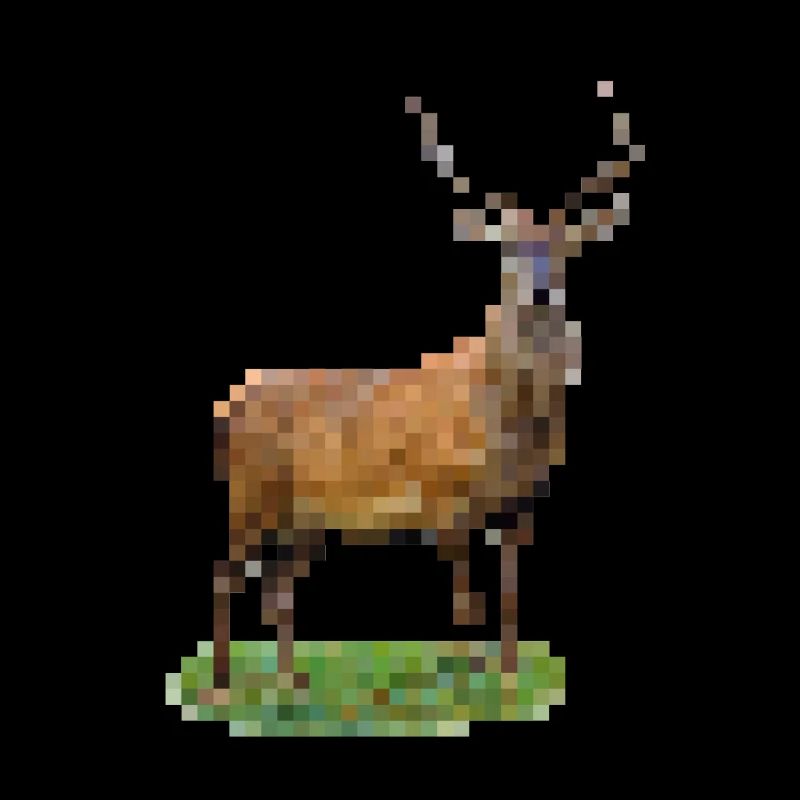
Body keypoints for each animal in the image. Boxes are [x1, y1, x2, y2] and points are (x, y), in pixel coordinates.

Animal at [210, 81, 644, 690]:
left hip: (304, 515)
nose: (539, 292)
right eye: (506, 248)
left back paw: (290, 685)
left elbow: (511, 597)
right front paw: (464, 686)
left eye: (566, 248)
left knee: (277, 588)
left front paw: (510, 680)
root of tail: (226, 406)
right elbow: (466, 603)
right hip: (250, 490)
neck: (510, 428)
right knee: (225, 573)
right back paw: (223, 688)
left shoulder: (523, 504)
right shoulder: (442, 494)